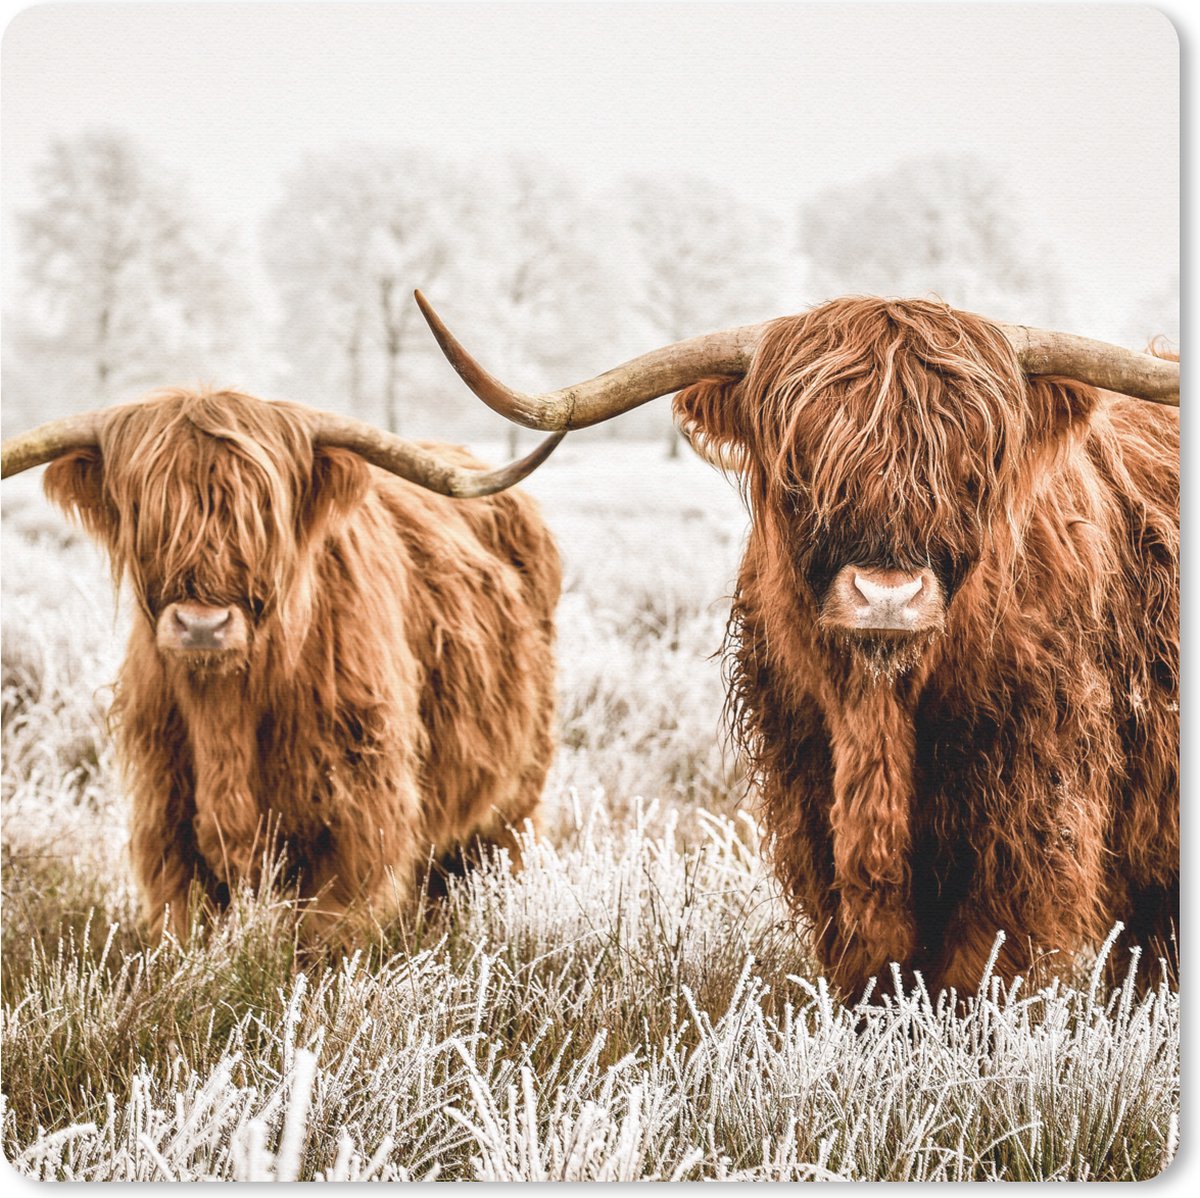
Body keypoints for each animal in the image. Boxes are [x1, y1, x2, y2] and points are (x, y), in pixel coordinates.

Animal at [1, 390, 564, 944]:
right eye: (144, 508)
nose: (202, 626)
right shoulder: (166, 817)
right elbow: (184, 924)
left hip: (515, 795)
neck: (225, 711)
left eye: (264, 514)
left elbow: (327, 933)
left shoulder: (356, 817)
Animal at [412, 290, 1179, 998]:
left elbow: (978, 969)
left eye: (973, 469)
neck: (880, 712)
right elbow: (870, 965)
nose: (887, 596)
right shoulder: (812, 802)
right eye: (802, 468)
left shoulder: (1027, 820)